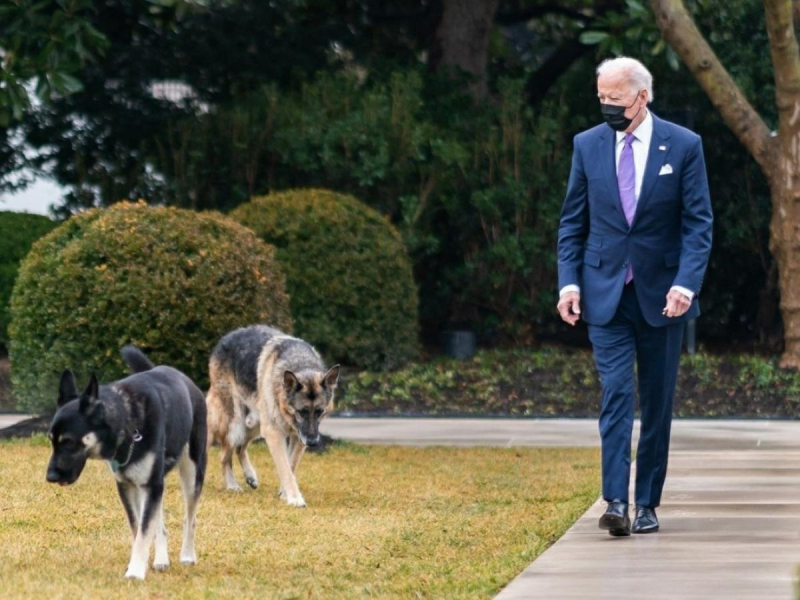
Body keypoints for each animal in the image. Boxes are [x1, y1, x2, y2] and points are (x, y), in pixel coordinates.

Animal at [45, 346, 208, 580]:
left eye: (68, 441)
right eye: (51, 440)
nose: (50, 477)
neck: (126, 422)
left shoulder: (150, 485)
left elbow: (144, 531)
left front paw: (136, 571)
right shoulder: (129, 486)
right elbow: (138, 528)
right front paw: (139, 564)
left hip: (192, 472)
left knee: (190, 518)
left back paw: (187, 555)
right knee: (159, 524)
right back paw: (161, 559)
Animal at [205, 328, 340, 506]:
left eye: (319, 411)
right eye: (301, 411)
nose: (312, 443)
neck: (300, 364)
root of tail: (224, 339)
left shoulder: (297, 439)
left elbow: (291, 466)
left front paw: (284, 493)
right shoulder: (275, 434)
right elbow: (285, 468)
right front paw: (294, 498)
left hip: (255, 424)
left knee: (240, 448)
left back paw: (250, 476)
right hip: (236, 423)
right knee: (223, 454)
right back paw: (232, 485)